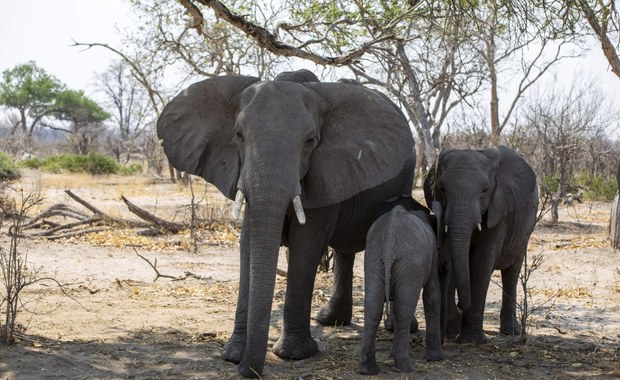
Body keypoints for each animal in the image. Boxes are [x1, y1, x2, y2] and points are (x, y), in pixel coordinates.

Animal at [157, 70, 414, 378]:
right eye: (238, 135)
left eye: (310, 141)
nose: (248, 369)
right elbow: (249, 244)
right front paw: (233, 355)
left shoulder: (323, 172)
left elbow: (306, 245)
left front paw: (293, 354)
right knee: (344, 253)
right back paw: (330, 320)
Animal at [358, 205, 446, 374]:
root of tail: (389, 243)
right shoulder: (432, 251)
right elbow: (432, 293)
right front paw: (436, 358)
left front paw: (392, 354)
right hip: (411, 264)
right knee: (404, 308)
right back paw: (405, 368)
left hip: (373, 258)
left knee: (373, 307)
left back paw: (367, 370)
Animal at [424, 145, 540, 342]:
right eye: (442, 189)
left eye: (485, 190)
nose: (460, 308)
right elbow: (452, 260)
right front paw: (453, 330)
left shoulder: (498, 210)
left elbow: (482, 262)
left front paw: (470, 340)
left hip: (525, 230)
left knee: (512, 273)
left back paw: (511, 332)